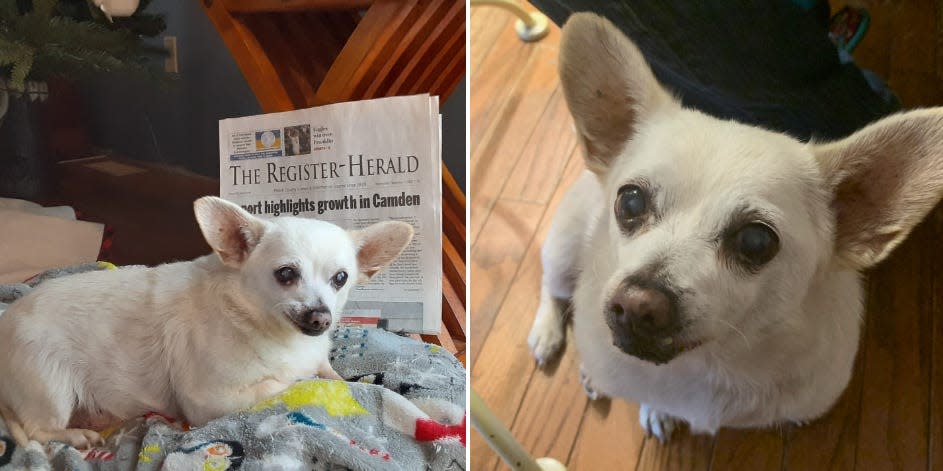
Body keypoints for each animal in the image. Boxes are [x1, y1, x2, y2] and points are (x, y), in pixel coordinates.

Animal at [0, 195, 412, 450]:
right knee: (37, 430)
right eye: (286, 274)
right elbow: (288, 383)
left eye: (341, 279)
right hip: (53, 389)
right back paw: (77, 436)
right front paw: (303, 379)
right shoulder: (209, 401)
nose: (321, 316)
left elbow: (333, 375)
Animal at [528, 13, 943, 442]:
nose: (638, 303)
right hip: (564, 248)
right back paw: (548, 336)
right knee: (552, 287)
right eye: (630, 202)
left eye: (756, 241)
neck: (708, 363)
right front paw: (656, 409)